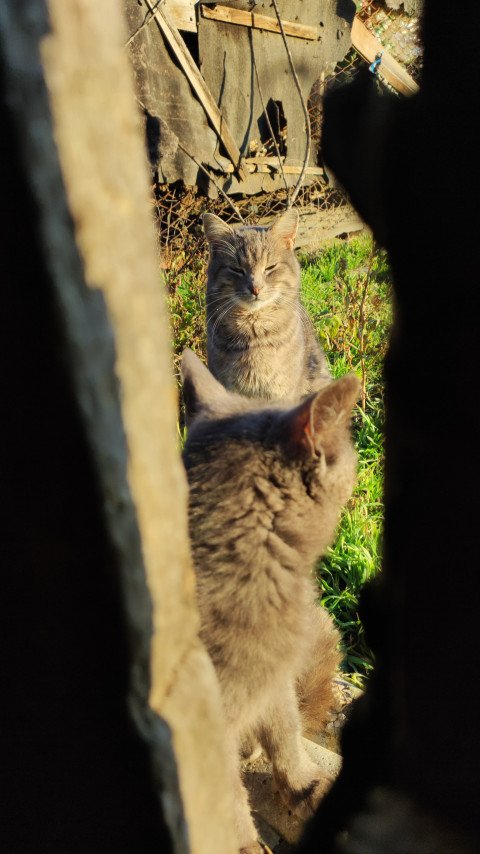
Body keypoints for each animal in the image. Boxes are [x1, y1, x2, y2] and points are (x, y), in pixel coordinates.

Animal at [182, 350, 358, 854]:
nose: (358, 461)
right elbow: (225, 797)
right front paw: (243, 844)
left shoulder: (277, 680)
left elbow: (287, 732)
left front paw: (304, 786)